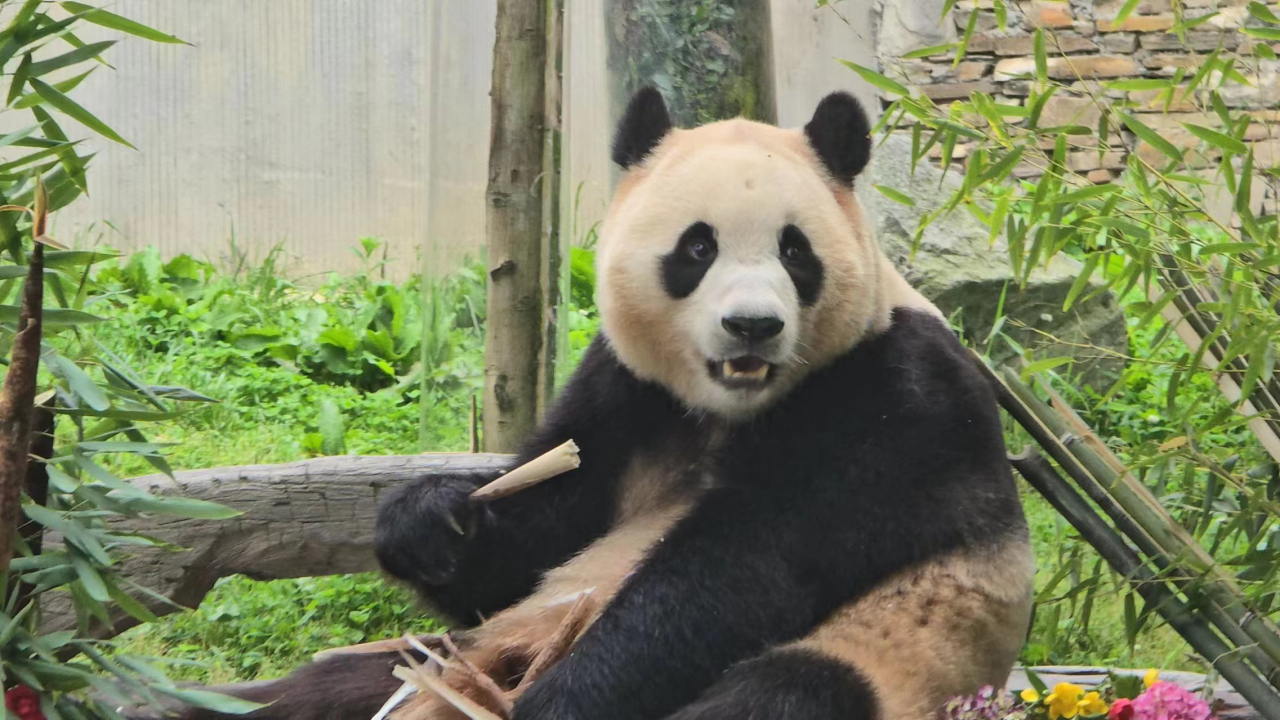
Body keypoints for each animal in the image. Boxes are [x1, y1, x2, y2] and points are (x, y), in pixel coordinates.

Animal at [180, 88, 1034, 717]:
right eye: (698, 247)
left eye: (796, 251)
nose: (752, 326)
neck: (729, 408)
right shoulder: (625, 390)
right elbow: (544, 529)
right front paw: (428, 521)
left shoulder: (895, 401)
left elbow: (737, 573)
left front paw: (563, 702)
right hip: (436, 660)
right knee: (319, 688)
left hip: (893, 657)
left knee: (787, 692)